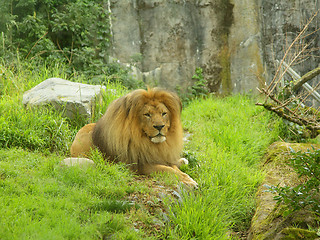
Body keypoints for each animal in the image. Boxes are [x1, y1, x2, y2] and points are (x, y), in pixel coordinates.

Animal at [70, 87, 198, 188]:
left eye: (164, 113)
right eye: (147, 114)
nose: (159, 126)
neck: (151, 144)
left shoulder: (160, 156)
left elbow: (174, 168)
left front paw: (187, 177)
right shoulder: (138, 165)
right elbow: (167, 169)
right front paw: (189, 181)